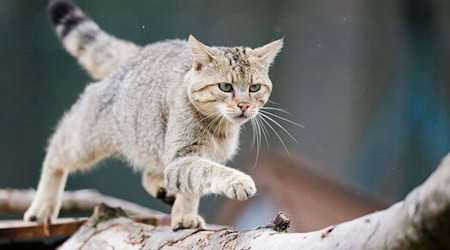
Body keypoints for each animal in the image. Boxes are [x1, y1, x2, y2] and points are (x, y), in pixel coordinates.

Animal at [23, 0, 282, 230]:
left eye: (254, 88)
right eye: (226, 87)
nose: (244, 105)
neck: (219, 128)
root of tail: (141, 50)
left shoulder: (188, 159)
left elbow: (193, 186)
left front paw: (184, 215)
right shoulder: (182, 156)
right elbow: (206, 171)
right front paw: (237, 181)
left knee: (149, 173)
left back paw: (163, 190)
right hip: (89, 136)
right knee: (57, 151)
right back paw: (43, 206)